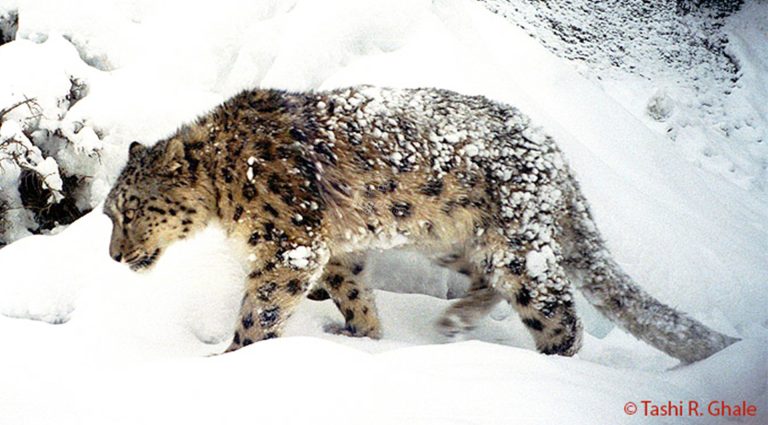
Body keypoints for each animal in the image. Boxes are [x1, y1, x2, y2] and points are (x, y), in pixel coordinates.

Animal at [104, 86, 738, 363]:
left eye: (130, 210)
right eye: (110, 213)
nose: (112, 255)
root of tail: (555, 154)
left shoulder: (291, 243)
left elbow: (259, 311)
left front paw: (228, 361)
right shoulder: (335, 248)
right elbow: (352, 291)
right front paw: (362, 337)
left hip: (518, 247)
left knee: (557, 312)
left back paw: (540, 363)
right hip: (450, 237)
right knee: (486, 282)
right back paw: (454, 324)